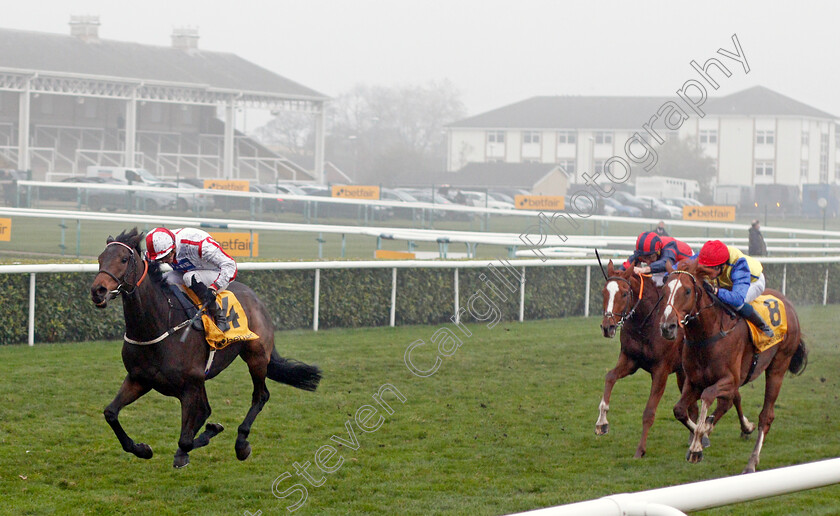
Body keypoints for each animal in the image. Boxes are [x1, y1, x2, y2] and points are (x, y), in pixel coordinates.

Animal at [90, 229, 322, 468]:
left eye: (123, 260)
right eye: (100, 258)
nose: (98, 291)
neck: (158, 326)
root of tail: (255, 297)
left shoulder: (190, 385)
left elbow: (185, 439)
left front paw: (197, 442)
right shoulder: (140, 379)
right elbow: (110, 413)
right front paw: (142, 449)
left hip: (256, 356)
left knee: (260, 396)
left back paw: (241, 443)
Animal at [596, 264, 704, 458]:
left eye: (624, 293)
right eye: (604, 292)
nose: (607, 327)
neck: (645, 325)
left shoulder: (661, 371)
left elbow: (648, 412)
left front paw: (640, 450)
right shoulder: (630, 360)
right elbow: (610, 377)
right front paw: (602, 423)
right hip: (683, 373)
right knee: (692, 407)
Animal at [656, 260, 808, 474]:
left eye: (687, 291)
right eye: (664, 291)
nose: (667, 328)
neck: (708, 335)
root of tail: (788, 303)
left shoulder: (728, 379)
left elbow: (708, 396)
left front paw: (697, 445)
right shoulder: (694, 381)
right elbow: (679, 410)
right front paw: (702, 437)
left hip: (778, 366)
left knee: (766, 416)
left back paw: (751, 462)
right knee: (732, 401)